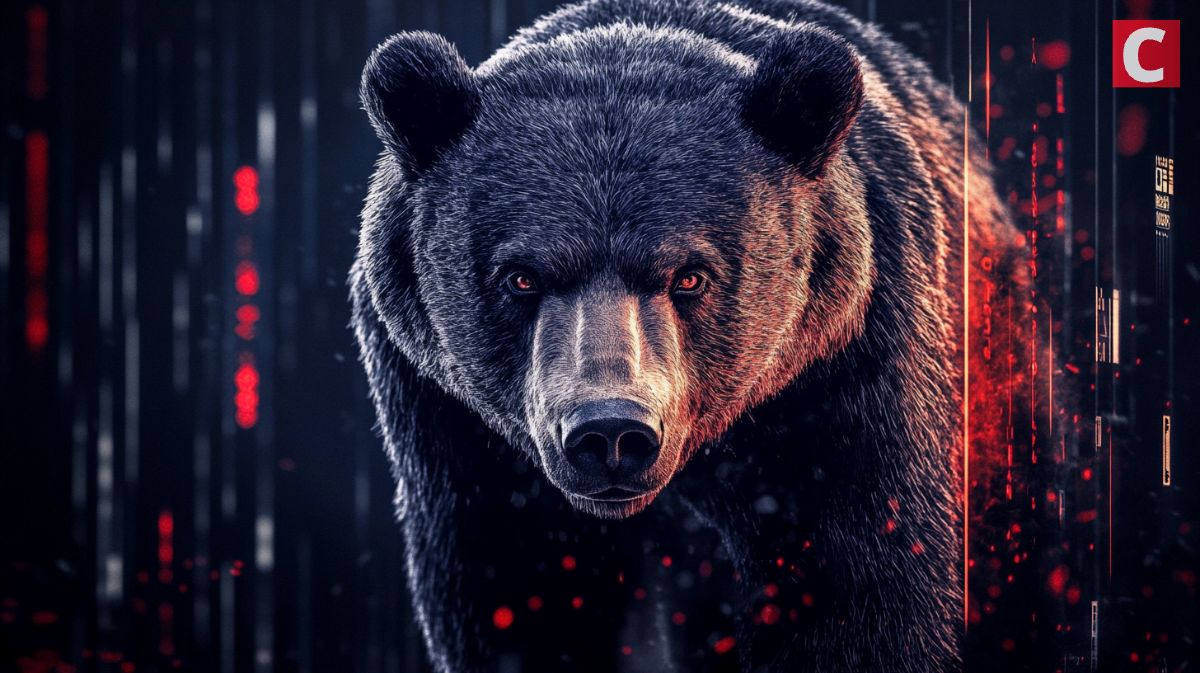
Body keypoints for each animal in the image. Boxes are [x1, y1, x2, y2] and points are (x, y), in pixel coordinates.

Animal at [351, 0, 1019, 671]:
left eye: (690, 275)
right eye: (521, 277)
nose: (610, 432)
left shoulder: (839, 383)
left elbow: (862, 594)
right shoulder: (455, 435)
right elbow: (519, 601)